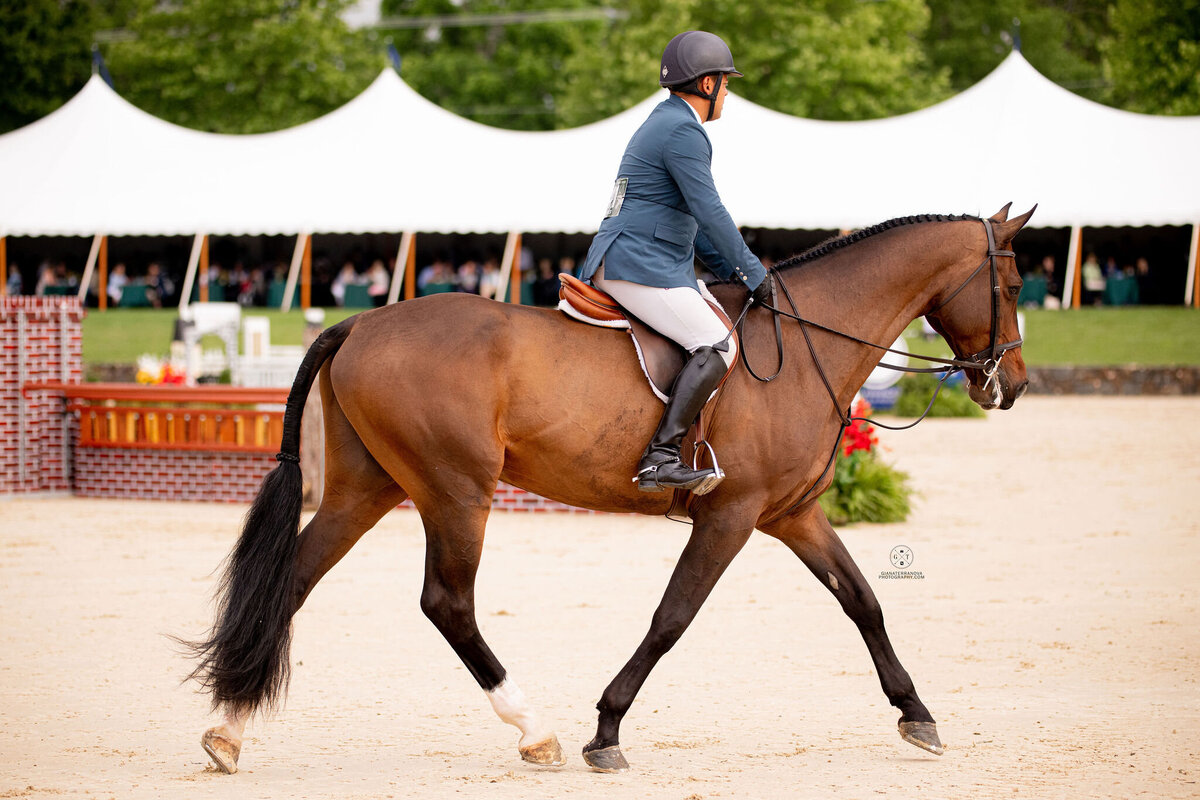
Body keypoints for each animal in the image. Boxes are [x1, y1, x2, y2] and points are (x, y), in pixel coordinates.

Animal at [182, 201, 1036, 777]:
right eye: (1014, 282)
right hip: (455, 490)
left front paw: (918, 716)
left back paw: (228, 731)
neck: (806, 345)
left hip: (367, 489)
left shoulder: (792, 514)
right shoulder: (730, 517)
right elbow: (671, 619)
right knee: (446, 603)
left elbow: (863, 601)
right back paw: (536, 731)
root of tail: (360, 323)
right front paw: (606, 731)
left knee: (294, 580)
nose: (1015, 385)